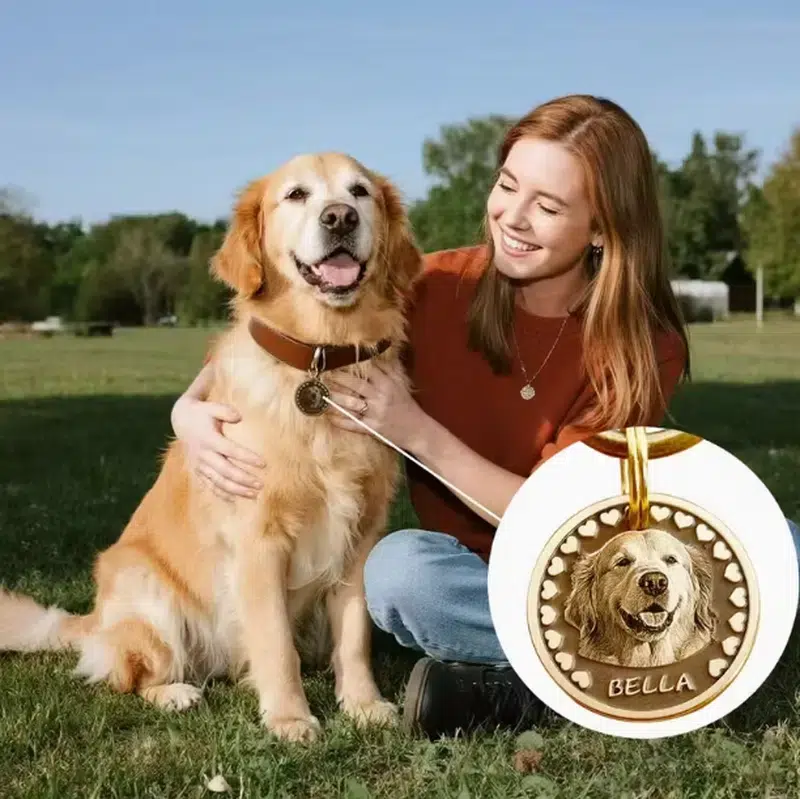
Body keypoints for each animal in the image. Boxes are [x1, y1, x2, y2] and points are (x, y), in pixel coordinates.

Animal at [0, 152, 423, 743]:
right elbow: (276, 645)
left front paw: (363, 705)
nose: (340, 218)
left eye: (359, 192)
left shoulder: (361, 539)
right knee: (128, 675)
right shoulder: (259, 542)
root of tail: (94, 621)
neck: (321, 359)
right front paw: (290, 717)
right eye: (296, 195)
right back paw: (175, 692)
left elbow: (355, 636)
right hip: (150, 596)